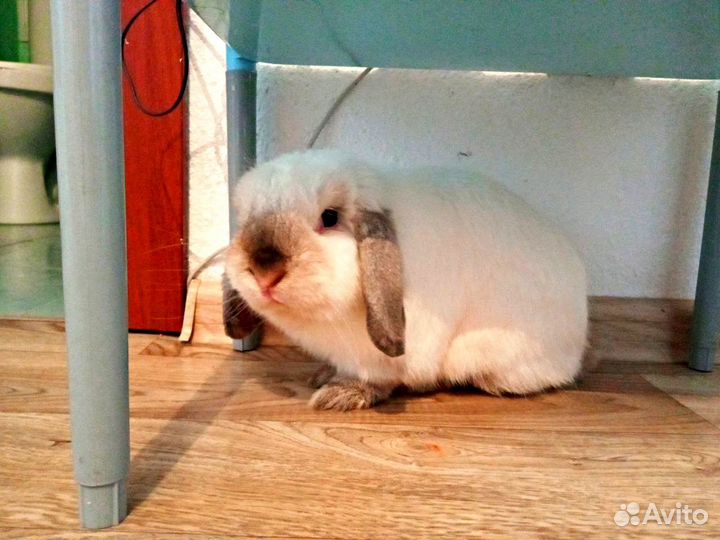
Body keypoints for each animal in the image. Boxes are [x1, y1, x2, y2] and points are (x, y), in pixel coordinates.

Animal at [224, 149, 588, 411]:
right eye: (247, 218)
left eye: (329, 217)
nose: (264, 273)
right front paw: (324, 376)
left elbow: (379, 379)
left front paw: (340, 394)